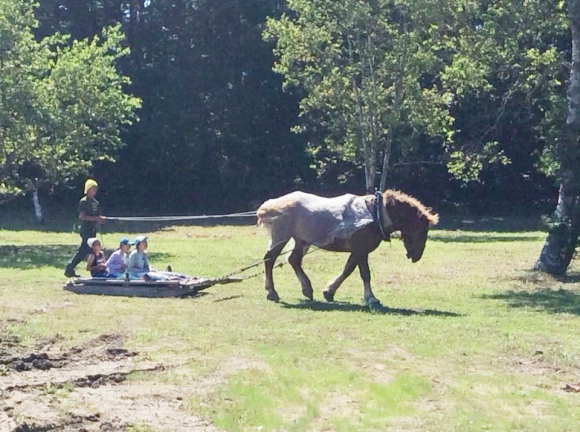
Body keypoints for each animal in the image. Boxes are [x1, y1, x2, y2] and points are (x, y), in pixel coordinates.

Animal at [256, 191, 438, 306]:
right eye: (421, 231)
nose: (416, 256)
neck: (375, 214)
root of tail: (270, 206)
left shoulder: (358, 251)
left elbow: (347, 269)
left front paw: (329, 291)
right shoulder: (361, 249)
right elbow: (364, 273)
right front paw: (371, 299)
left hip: (301, 240)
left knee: (294, 260)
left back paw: (307, 289)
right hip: (281, 237)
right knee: (269, 260)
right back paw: (272, 292)